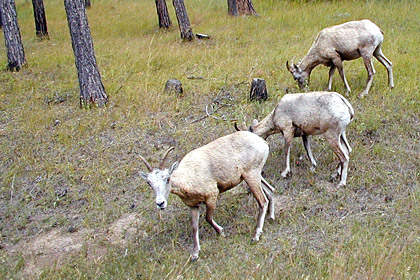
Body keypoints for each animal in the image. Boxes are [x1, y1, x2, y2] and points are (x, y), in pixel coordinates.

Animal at [138, 132, 276, 262]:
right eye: (149, 183)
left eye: (167, 178)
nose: (160, 203)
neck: (189, 177)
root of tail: (262, 142)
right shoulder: (193, 206)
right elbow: (194, 227)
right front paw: (194, 255)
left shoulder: (211, 196)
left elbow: (208, 218)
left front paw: (221, 232)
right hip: (253, 176)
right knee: (271, 190)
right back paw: (271, 217)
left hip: (251, 175)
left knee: (262, 201)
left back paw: (256, 236)